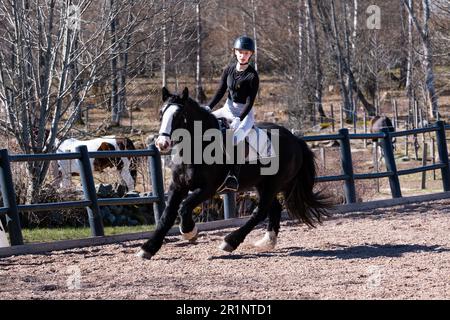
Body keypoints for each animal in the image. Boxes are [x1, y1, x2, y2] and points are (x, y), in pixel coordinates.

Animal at [135, 87, 332, 260]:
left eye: (178, 115)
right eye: (161, 113)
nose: (162, 144)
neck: (196, 147)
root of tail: (295, 139)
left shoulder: (208, 189)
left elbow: (184, 207)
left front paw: (190, 231)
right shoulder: (178, 186)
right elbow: (166, 216)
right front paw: (148, 248)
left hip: (273, 184)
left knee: (260, 212)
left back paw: (230, 242)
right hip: (262, 184)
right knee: (273, 208)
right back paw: (267, 241)